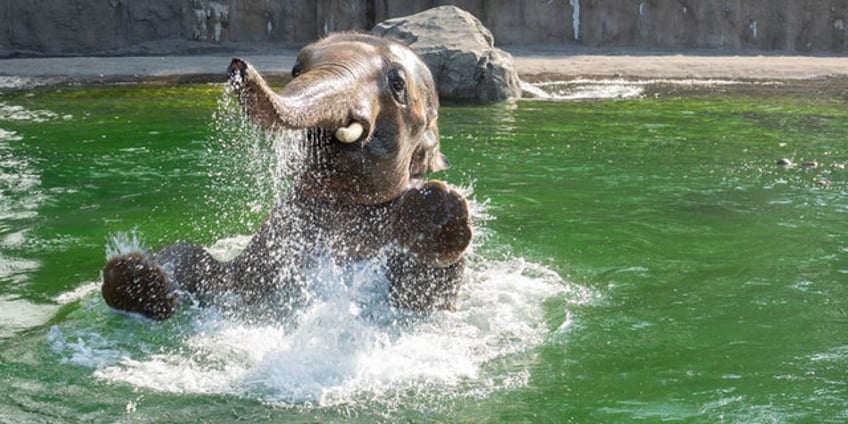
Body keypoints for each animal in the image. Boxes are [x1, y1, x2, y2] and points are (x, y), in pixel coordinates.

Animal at [100, 32, 474, 318]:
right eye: (296, 68)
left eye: (397, 84)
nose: (238, 66)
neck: (343, 202)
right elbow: (208, 270)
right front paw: (136, 279)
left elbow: (418, 297)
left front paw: (438, 208)